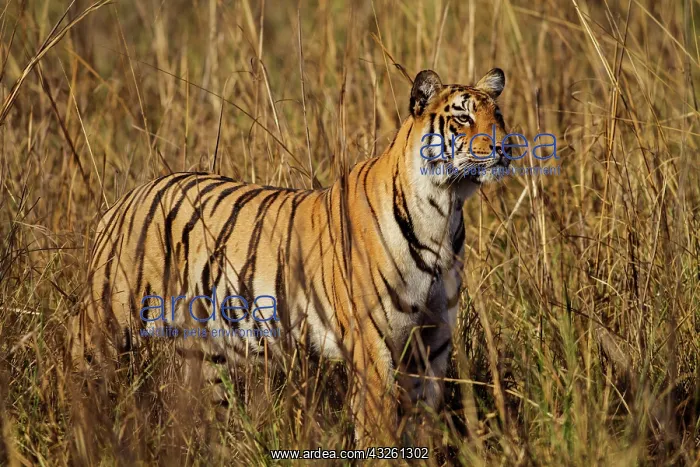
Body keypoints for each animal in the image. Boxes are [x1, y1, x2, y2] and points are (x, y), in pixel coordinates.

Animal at [69, 67, 512, 446]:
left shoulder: (433, 341)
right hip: (105, 325)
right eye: (463, 118)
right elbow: (378, 427)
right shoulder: (372, 343)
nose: (505, 147)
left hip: (207, 349)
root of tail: (124, 199)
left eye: (499, 114)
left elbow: (424, 422)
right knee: (79, 380)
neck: (444, 209)